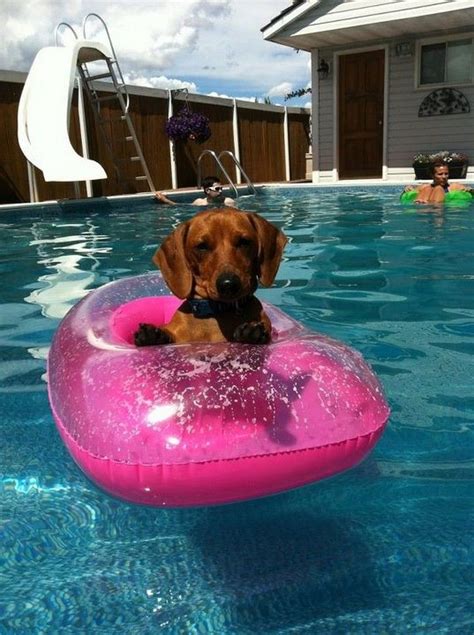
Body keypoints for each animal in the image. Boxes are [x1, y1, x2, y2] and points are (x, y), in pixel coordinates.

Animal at [135, 209, 286, 348]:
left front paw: (251, 332)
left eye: (244, 242)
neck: (215, 312)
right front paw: (155, 335)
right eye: (202, 246)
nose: (228, 284)